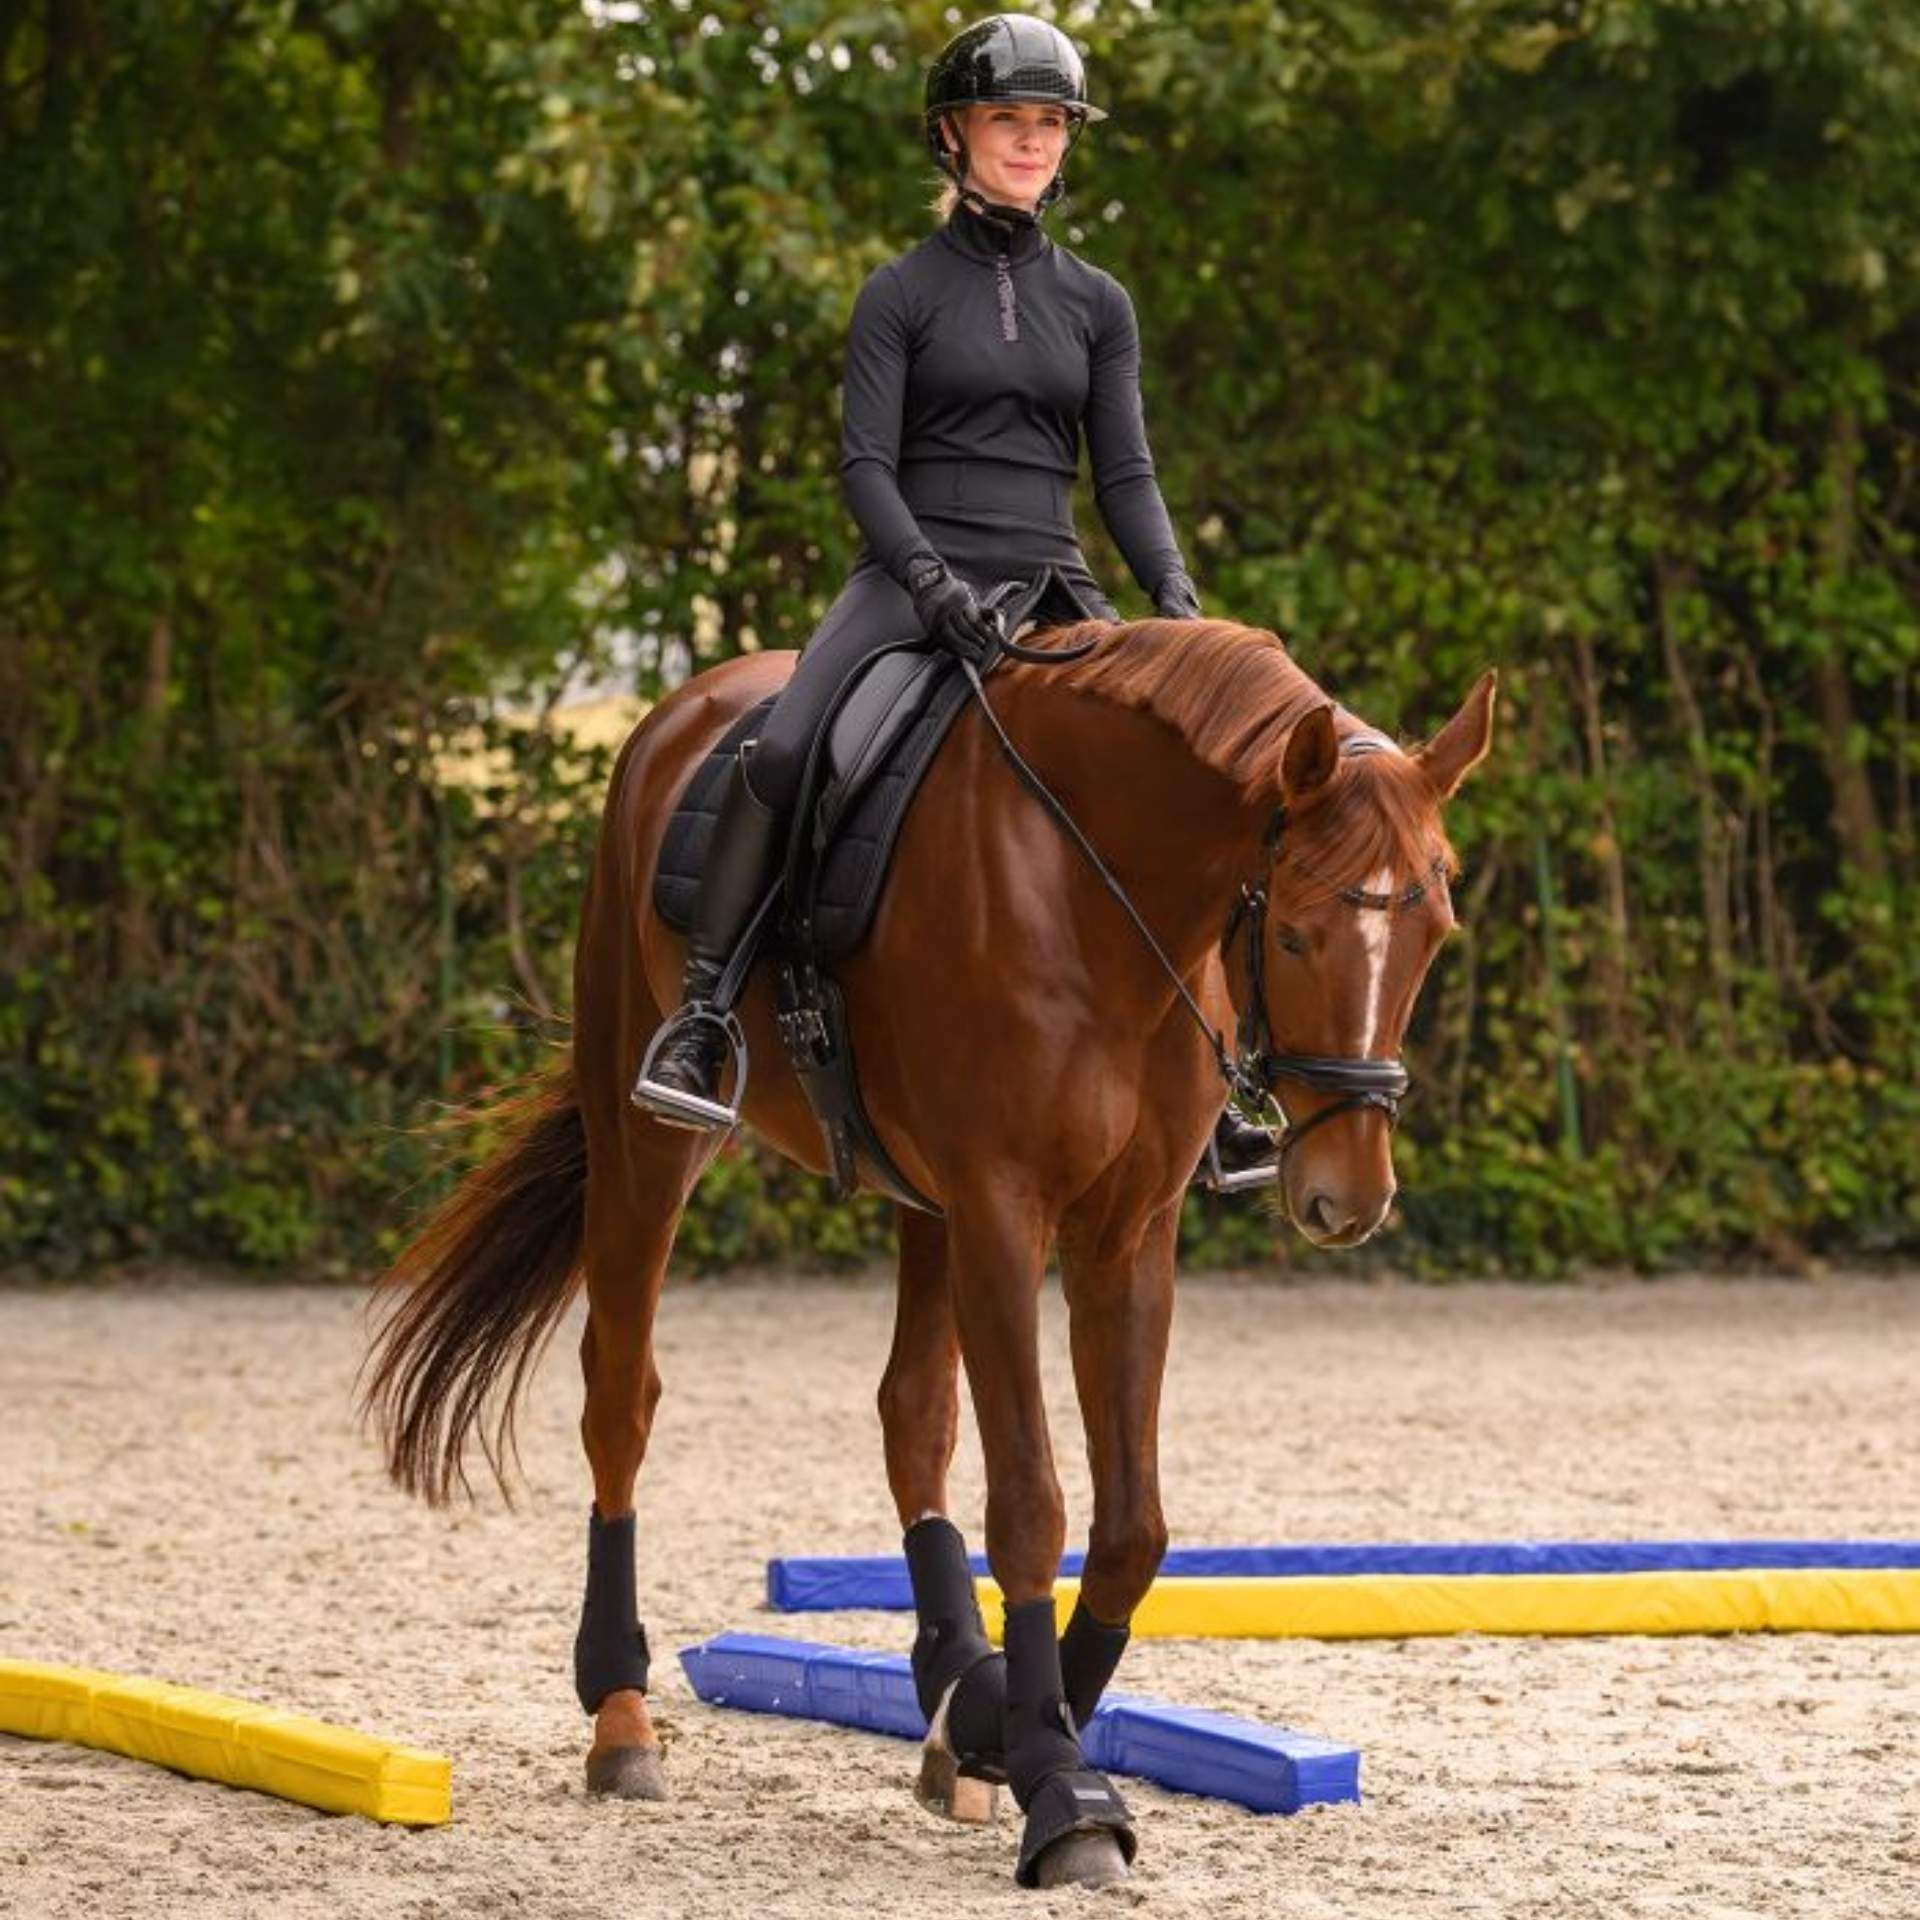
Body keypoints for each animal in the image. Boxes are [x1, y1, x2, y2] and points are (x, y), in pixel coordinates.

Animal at [359, 612, 1495, 1890]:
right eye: (1294, 933)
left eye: (1436, 932)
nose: (1347, 1197)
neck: (1101, 889)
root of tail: (690, 706)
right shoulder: (1004, 1209)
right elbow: (1034, 1505)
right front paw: (1061, 1787)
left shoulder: (1126, 1231)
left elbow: (1130, 1525)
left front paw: (996, 1723)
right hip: (648, 1133)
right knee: (621, 1397)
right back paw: (622, 1718)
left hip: (924, 1203)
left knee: (913, 1412)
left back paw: (949, 1681)